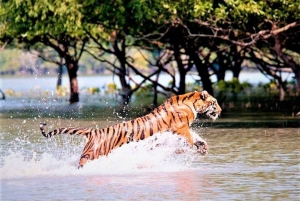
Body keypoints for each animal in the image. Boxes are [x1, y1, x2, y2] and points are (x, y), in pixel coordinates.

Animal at [39, 90, 221, 168]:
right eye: (214, 102)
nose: (219, 111)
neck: (191, 102)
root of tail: (93, 132)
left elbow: (195, 137)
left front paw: (202, 147)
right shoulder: (180, 128)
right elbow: (188, 140)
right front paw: (191, 149)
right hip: (91, 156)